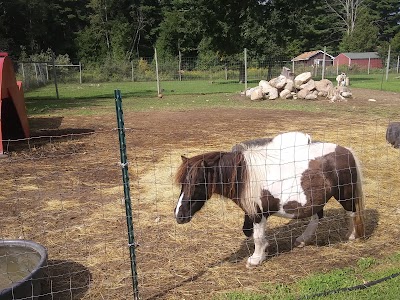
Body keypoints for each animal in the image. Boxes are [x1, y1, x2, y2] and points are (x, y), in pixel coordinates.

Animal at [173, 131, 364, 268]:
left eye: (198, 183)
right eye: (182, 183)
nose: (179, 215)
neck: (245, 176)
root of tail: (346, 151)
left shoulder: (258, 213)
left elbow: (257, 236)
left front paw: (256, 259)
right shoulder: (252, 212)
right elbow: (249, 232)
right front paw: (264, 251)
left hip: (345, 194)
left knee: (351, 213)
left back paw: (351, 235)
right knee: (317, 216)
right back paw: (303, 240)